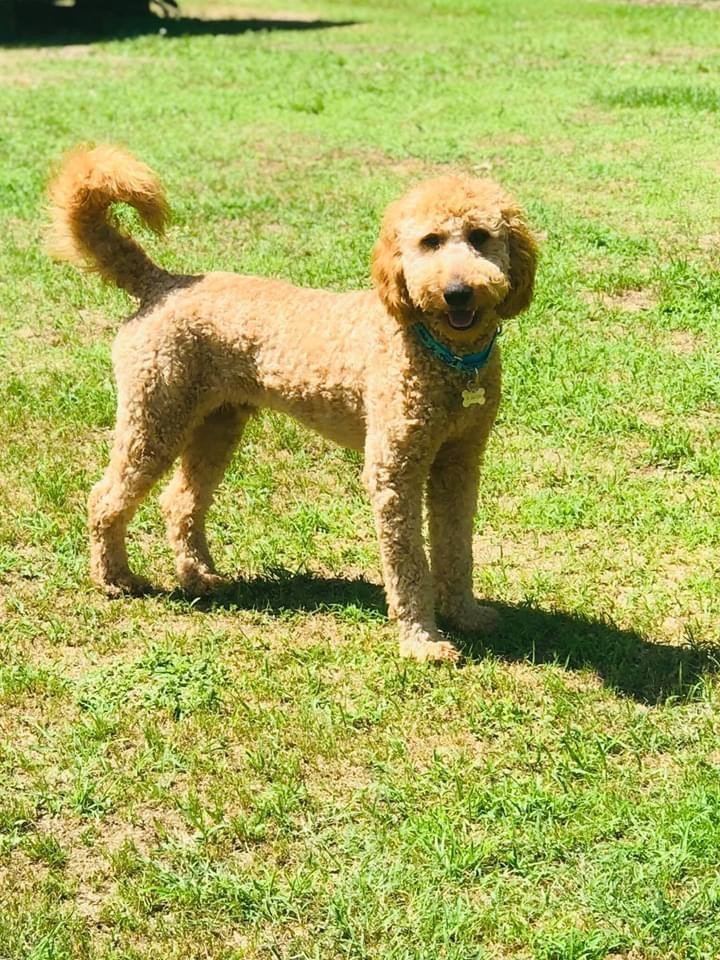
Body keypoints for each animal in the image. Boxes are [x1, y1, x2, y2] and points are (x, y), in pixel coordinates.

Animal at [49, 146, 536, 660]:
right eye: (430, 241)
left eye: (481, 237)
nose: (457, 292)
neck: (443, 354)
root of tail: (161, 283)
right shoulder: (393, 469)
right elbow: (408, 561)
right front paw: (422, 641)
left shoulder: (459, 461)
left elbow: (456, 546)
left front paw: (466, 614)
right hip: (155, 416)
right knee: (105, 497)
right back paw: (115, 578)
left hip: (215, 425)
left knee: (178, 501)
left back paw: (199, 576)